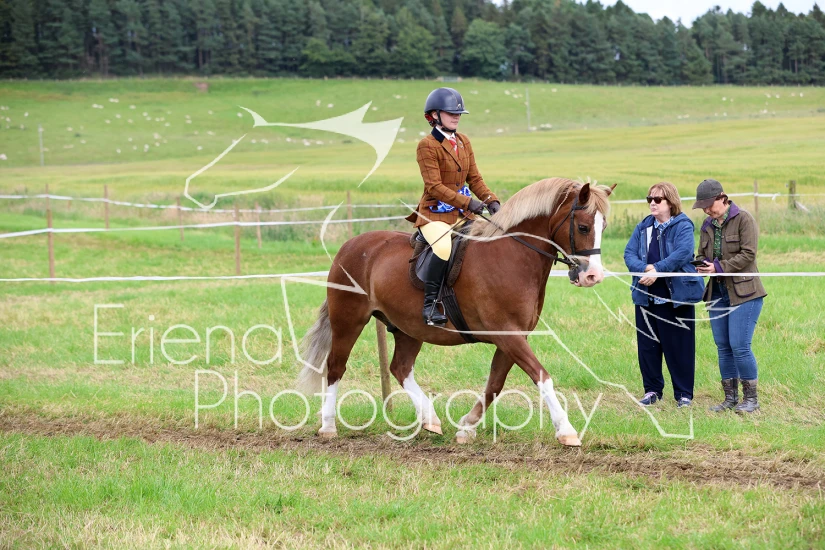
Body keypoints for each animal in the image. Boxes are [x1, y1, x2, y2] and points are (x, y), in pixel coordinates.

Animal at [297, 178, 614, 447]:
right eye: (583, 227)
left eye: (604, 227)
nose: (593, 276)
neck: (511, 256)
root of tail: (350, 245)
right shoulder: (508, 335)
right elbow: (541, 376)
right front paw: (567, 431)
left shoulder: (513, 337)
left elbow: (495, 384)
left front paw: (466, 427)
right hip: (348, 320)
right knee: (336, 366)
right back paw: (328, 426)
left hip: (409, 328)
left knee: (400, 368)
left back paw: (430, 419)